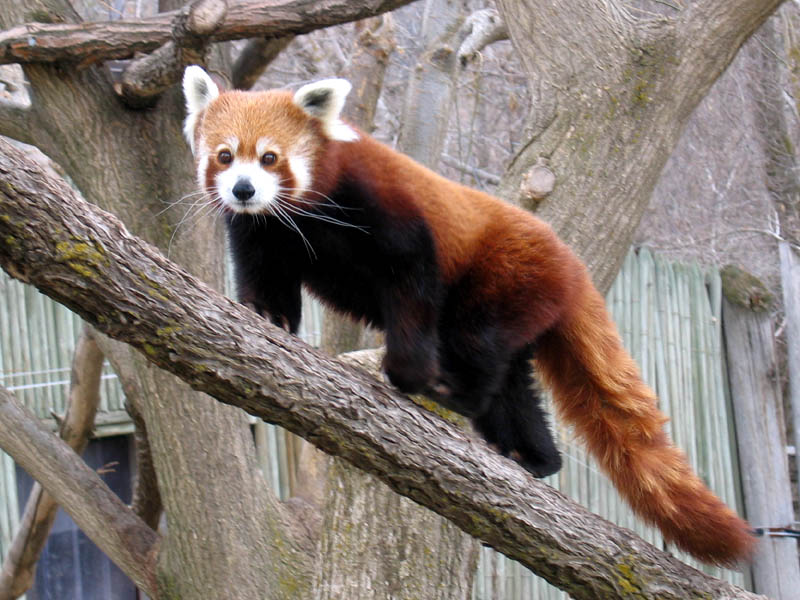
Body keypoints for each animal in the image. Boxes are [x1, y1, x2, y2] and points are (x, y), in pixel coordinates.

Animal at [183, 67, 756, 568]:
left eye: (270, 157)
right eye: (225, 156)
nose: (243, 189)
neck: (304, 213)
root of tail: (572, 266)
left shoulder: (387, 214)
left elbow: (413, 283)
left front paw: (407, 372)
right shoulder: (265, 232)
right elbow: (266, 275)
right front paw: (264, 314)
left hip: (507, 279)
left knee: (478, 348)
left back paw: (453, 394)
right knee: (513, 389)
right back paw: (533, 457)